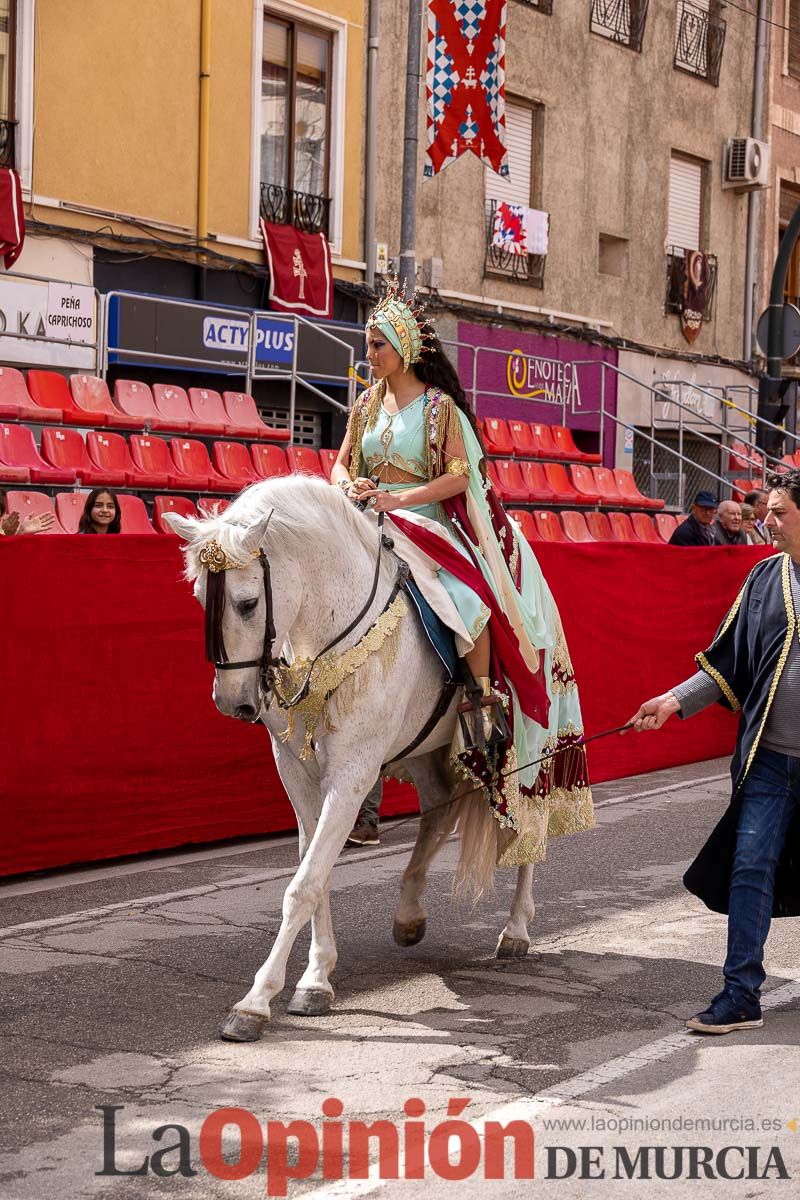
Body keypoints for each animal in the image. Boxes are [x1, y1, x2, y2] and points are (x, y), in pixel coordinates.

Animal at [172, 477, 542, 1041]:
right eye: (198, 598)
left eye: (248, 603)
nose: (231, 703)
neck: (326, 635)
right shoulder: (297, 771)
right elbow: (316, 872)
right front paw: (315, 980)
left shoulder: (351, 772)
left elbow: (303, 886)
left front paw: (255, 1003)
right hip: (426, 750)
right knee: (438, 811)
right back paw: (409, 915)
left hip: (528, 743)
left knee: (528, 826)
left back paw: (516, 928)